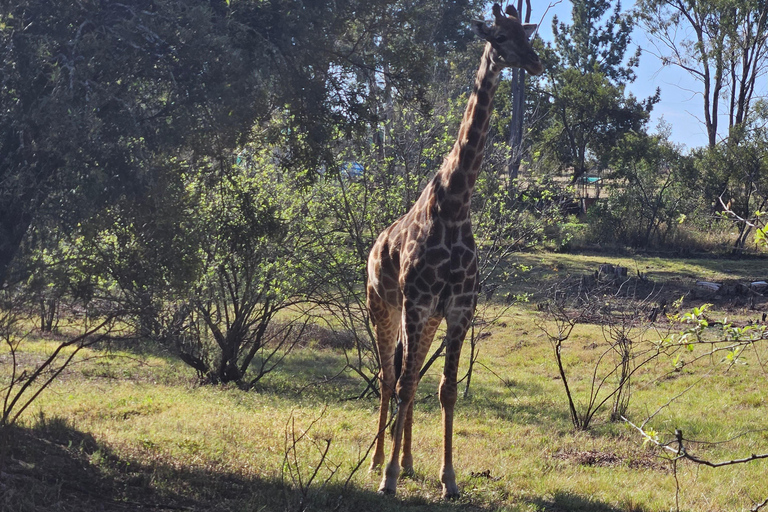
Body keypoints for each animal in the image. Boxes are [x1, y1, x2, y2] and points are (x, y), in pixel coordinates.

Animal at [364, 3, 540, 500]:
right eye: (499, 36)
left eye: (528, 35)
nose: (536, 62)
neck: (456, 204)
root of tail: (372, 247)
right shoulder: (419, 302)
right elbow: (405, 384)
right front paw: (388, 479)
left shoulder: (460, 307)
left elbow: (446, 389)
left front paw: (449, 479)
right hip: (383, 306)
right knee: (390, 377)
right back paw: (380, 462)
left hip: (422, 317)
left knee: (409, 374)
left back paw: (406, 461)